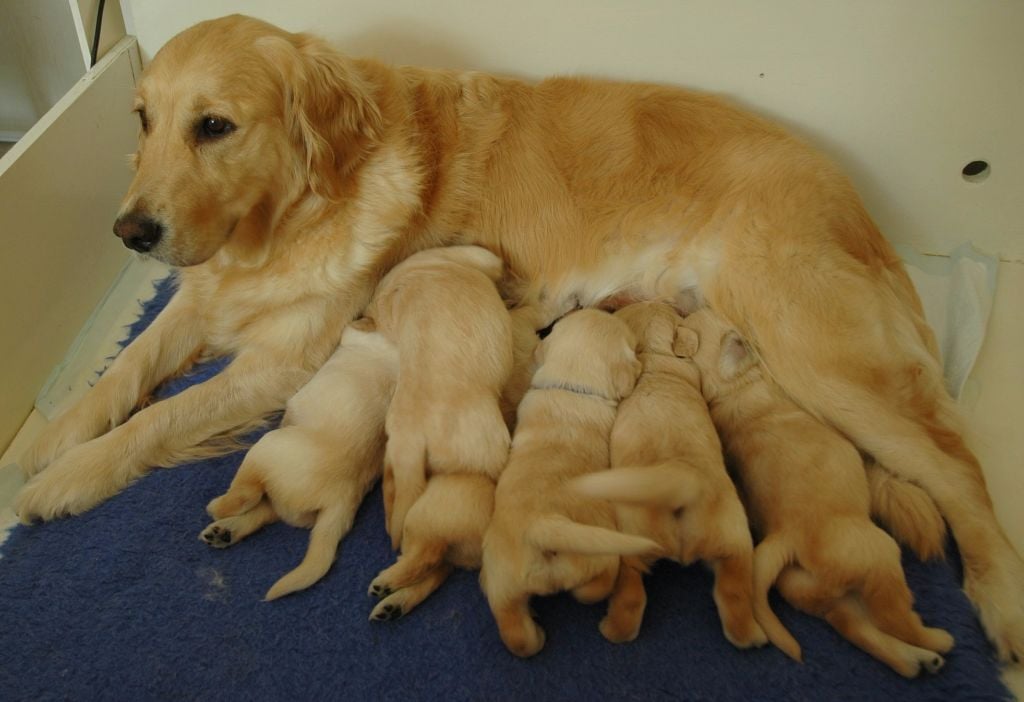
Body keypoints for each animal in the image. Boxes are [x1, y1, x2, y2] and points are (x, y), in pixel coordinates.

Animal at [198, 321, 395, 601]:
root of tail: (342, 499)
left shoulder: (361, 336)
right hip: (289, 500)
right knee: (264, 510)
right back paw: (224, 533)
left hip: (268, 448)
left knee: (247, 495)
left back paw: (218, 508)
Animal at [477, 311, 659, 663]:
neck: (572, 386)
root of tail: (543, 526)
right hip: (597, 552)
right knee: (593, 588)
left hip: (501, 577)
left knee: (516, 633)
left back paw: (534, 633)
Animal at [573, 298, 765, 650]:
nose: (659, 299)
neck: (656, 354)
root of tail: (681, 484)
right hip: (733, 537)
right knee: (733, 590)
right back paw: (749, 634)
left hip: (631, 540)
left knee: (631, 591)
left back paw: (614, 629)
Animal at [675, 311, 954, 679]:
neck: (734, 390)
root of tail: (786, 539)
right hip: (878, 555)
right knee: (892, 617)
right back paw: (935, 640)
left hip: (812, 590)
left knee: (855, 627)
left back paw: (915, 660)